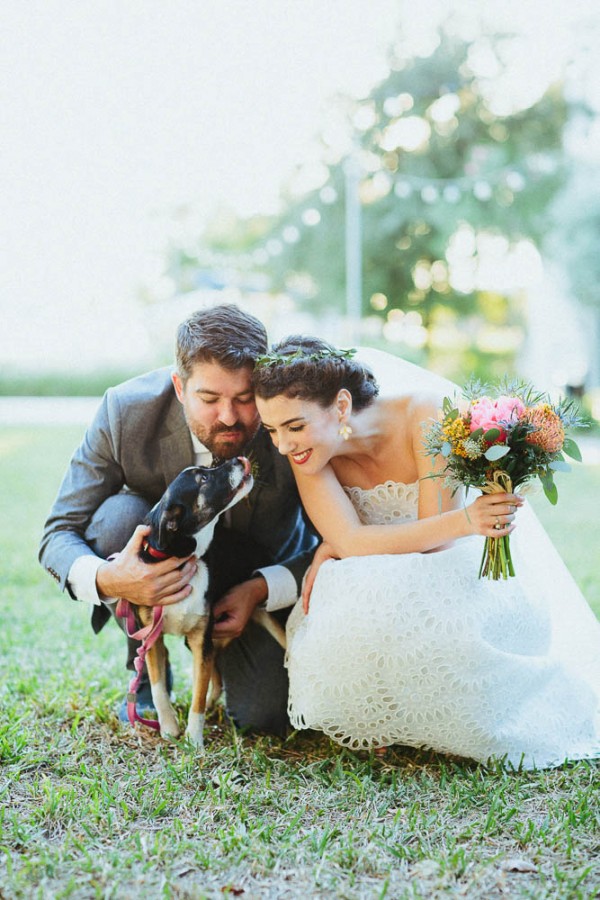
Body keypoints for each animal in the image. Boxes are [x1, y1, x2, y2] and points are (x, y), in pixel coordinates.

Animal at [128, 460, 286, 748]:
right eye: (203, 479)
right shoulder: (154, 640)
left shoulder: (202, 639)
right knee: (216, 676)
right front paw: (169, 727)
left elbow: (198, 696)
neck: (185, 560)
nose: (238, 460)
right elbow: (158, 689)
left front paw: (194, 739)